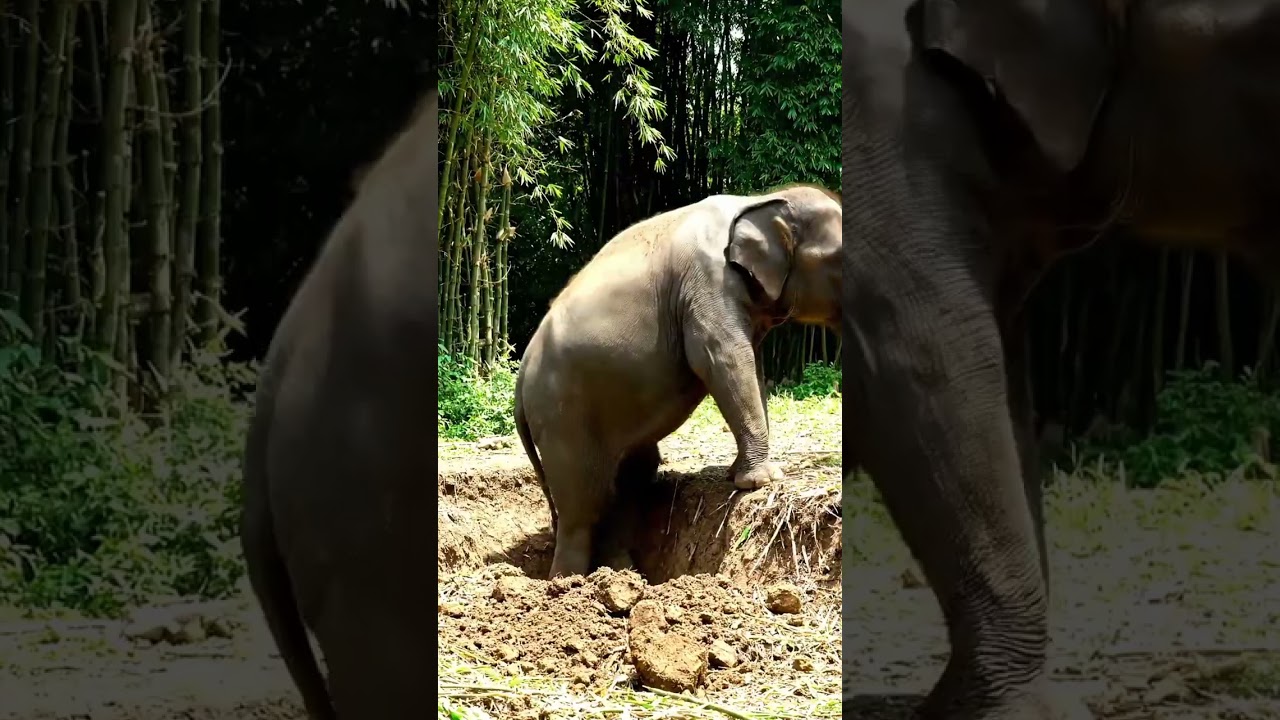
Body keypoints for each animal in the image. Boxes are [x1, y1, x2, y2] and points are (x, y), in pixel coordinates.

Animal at [514, 184, 842, 579]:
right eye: (841, 258)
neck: (759, 200)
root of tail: (518, 383)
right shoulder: (707, 286)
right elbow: (725, 360)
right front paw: (763, 481)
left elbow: (752, 366)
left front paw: (737, 475)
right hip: (560, 416)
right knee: (581, 508)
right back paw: (569, 584)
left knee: (628, 484)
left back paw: (622, 575)